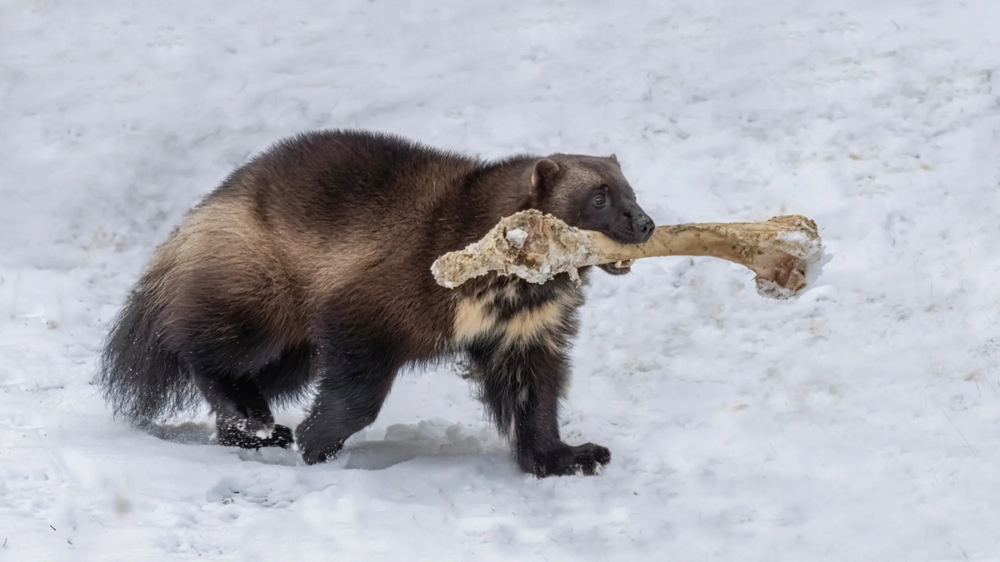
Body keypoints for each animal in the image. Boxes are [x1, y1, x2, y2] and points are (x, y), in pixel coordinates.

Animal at [98, 129, 655, 477]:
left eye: (632, 190)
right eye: (599, 197)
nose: (646, 223)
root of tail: (205, 208)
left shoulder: (522, 330)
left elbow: (534, 395)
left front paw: (568, 456)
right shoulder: (383, 298)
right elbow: (359, 386)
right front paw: (318, 438)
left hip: (297, 346)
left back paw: (249, 427)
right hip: (258, 288)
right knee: (205, 348)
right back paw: (249, 419)